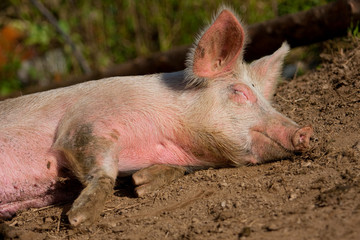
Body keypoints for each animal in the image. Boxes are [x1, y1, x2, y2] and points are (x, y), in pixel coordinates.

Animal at [0, 7, 312, 228]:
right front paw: (79, 219)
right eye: (240, 92)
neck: (164, 137)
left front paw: (141, 184)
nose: (306, 131)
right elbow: (98, 163)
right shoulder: (84, 121)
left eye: (267, 100)